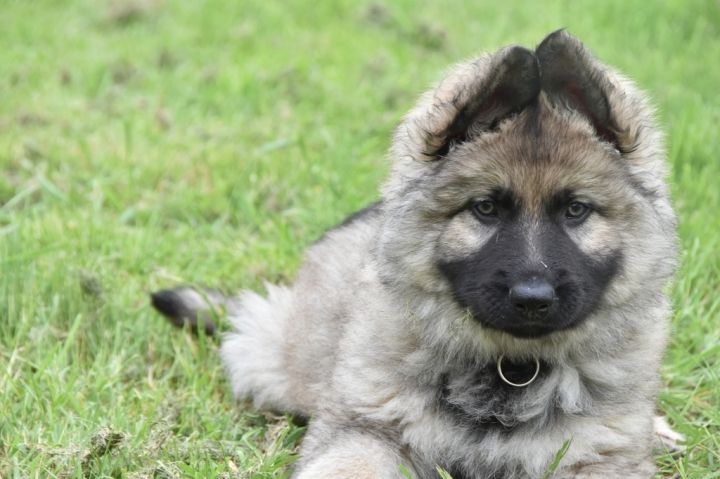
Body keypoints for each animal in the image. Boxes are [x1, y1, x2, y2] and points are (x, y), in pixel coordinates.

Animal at [152, 30, 679, 478]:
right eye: (485, 208)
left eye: (575, 210)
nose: (533, 298)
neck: (510, 368)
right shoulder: (366, 429)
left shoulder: (600, 456)